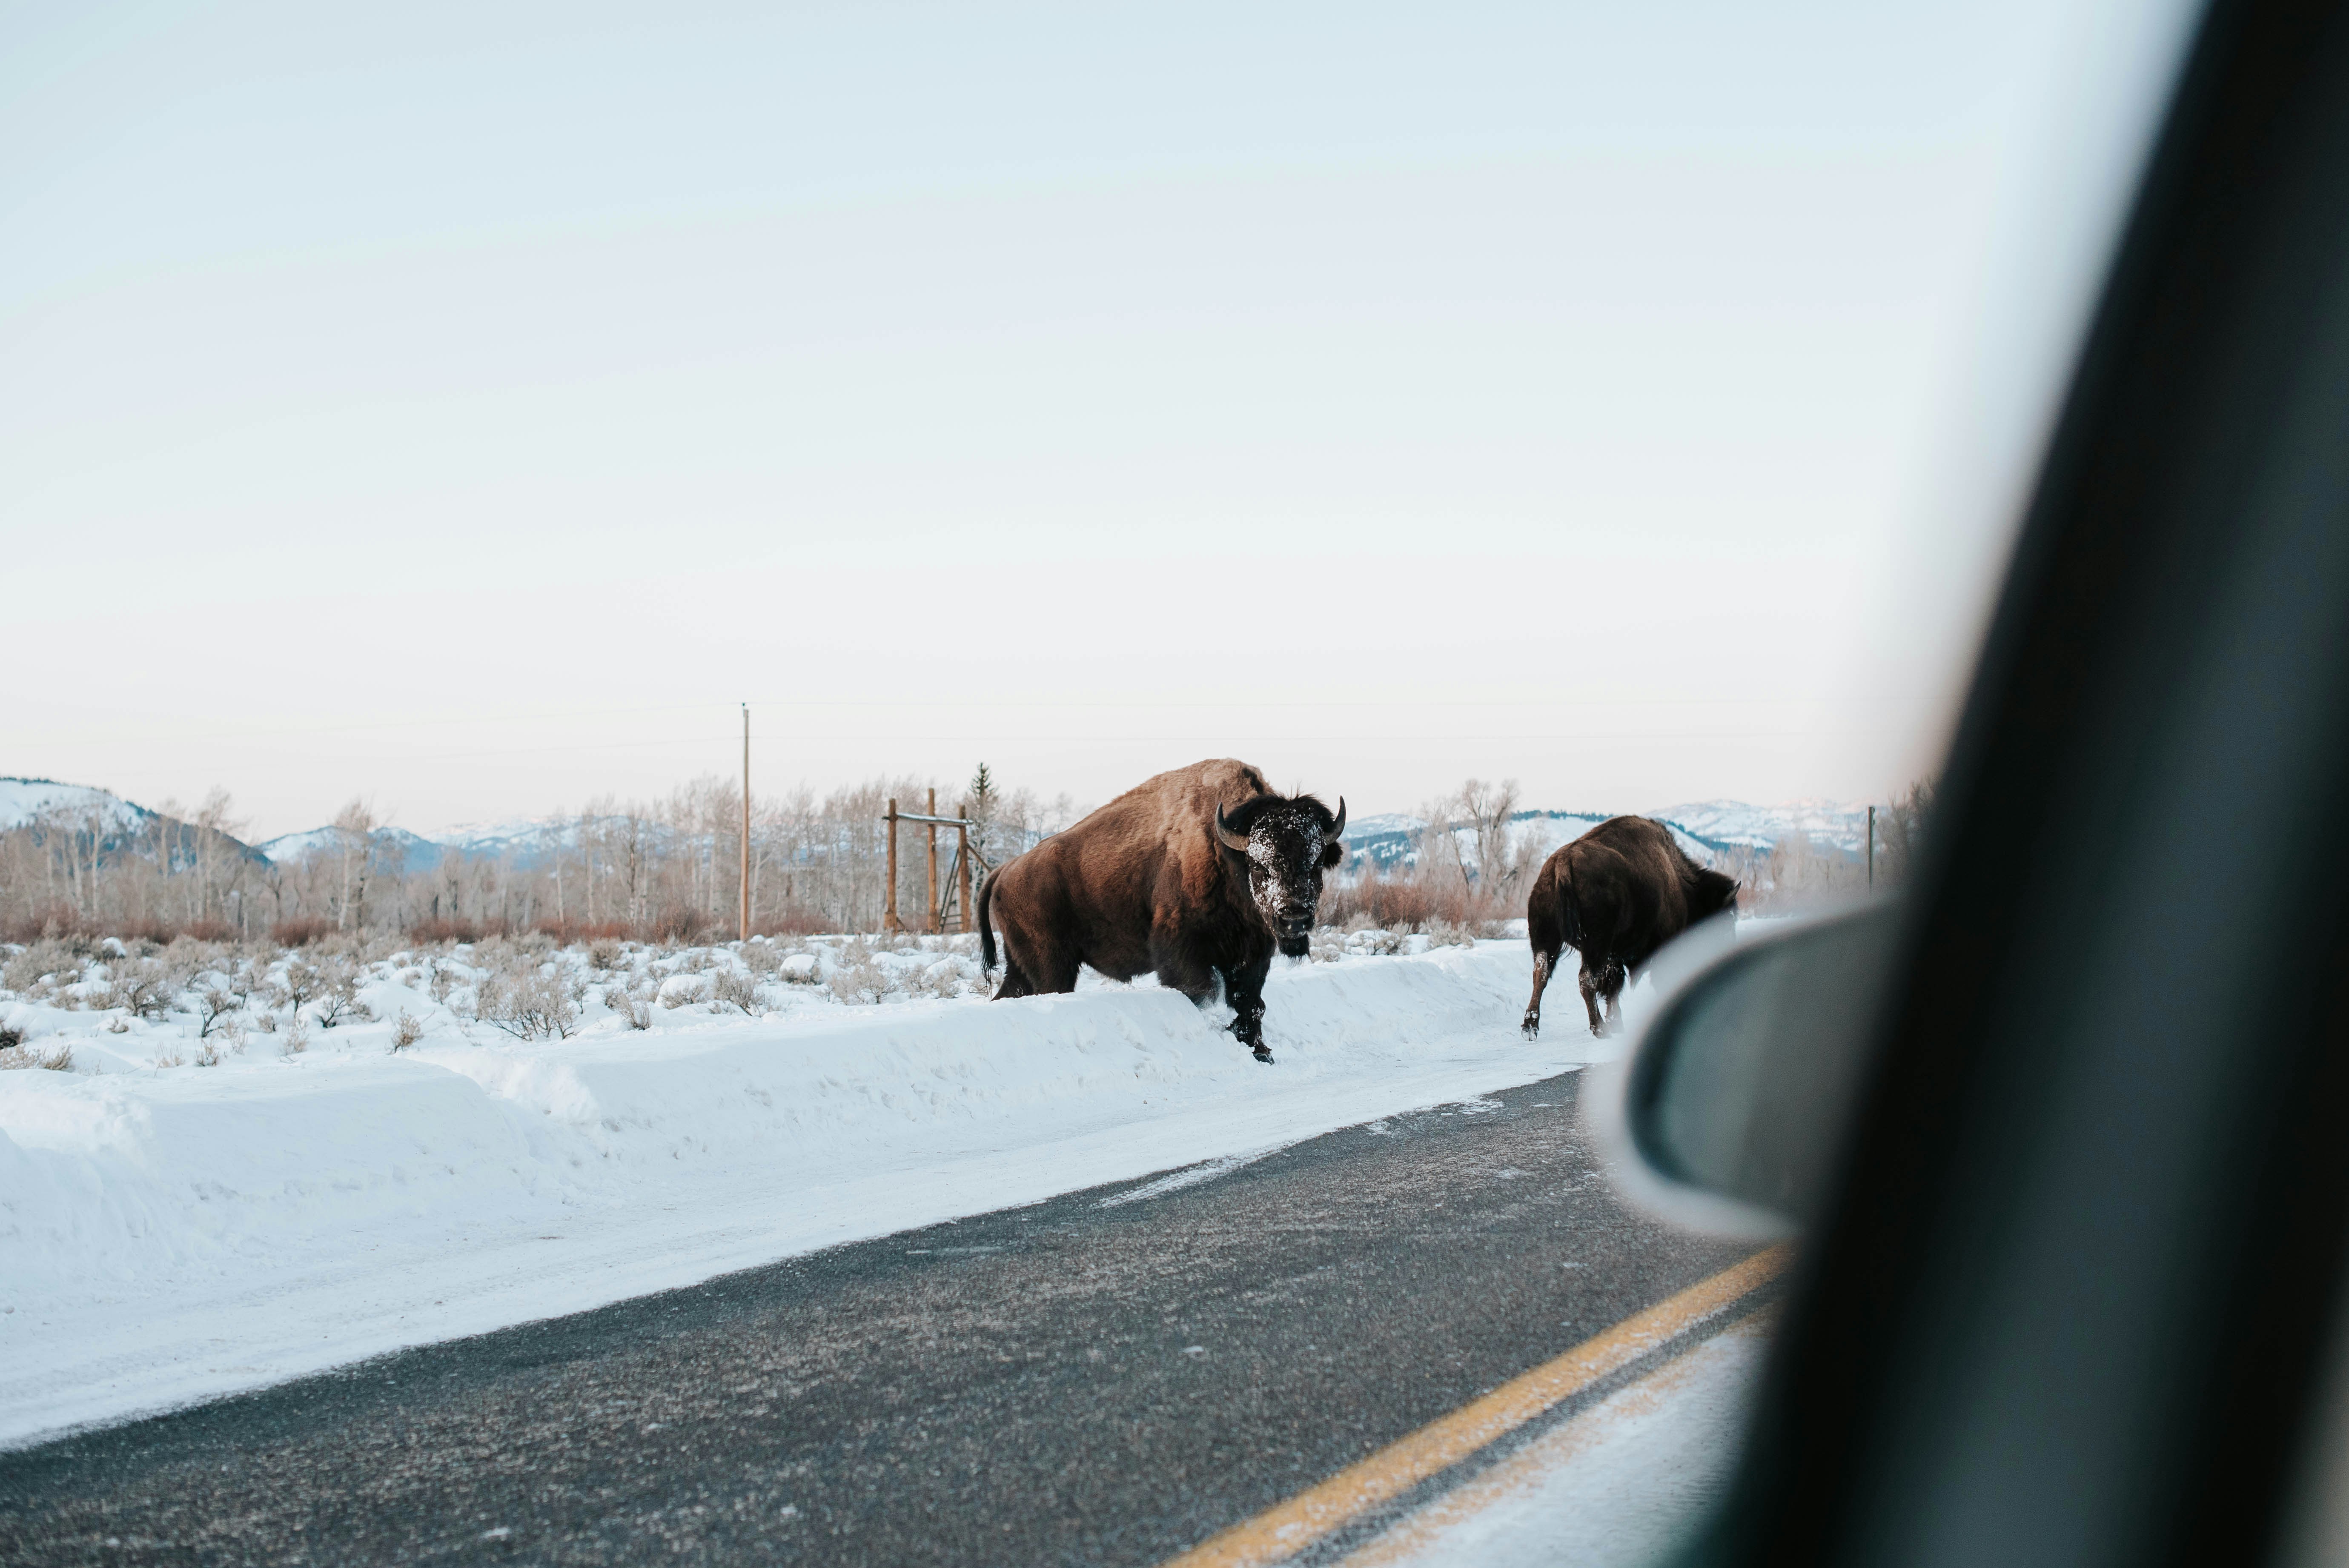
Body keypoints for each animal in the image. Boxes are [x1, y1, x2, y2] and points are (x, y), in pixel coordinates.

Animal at [977, 759, 1344, 1063]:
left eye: (1316, 864)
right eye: (1258, 865)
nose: (1294, 918)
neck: (1224, 852)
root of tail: (1005, 869)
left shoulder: (1252, 954)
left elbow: (1250, 1003)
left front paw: (1261, 1053)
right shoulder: (1183, 951)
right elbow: (1204, 992)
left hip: (1021, 964)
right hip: (1052, 964)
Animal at [1521, 815, 1738, 1039]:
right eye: (1726, 922)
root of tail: (1563, 863)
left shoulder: (1614, 955)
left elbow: (1614, 985)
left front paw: (1618, 1023)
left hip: (1546, 938)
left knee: (1542, 973)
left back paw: (1531, 1027)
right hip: (1595, 944)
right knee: (1585, 980)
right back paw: (1600, 1028)